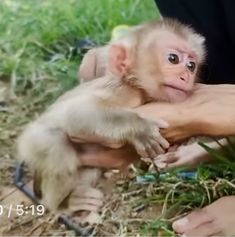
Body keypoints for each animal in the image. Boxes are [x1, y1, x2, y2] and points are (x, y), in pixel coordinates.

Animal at [16, 19, 205, 213]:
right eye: (173, 59)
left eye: (191, 66)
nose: (185, 76)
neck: (138, 87)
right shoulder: (123, 90)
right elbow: (75, 113)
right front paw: (140, 129)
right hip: (34, 141)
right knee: (58, 148)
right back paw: (63, 203)